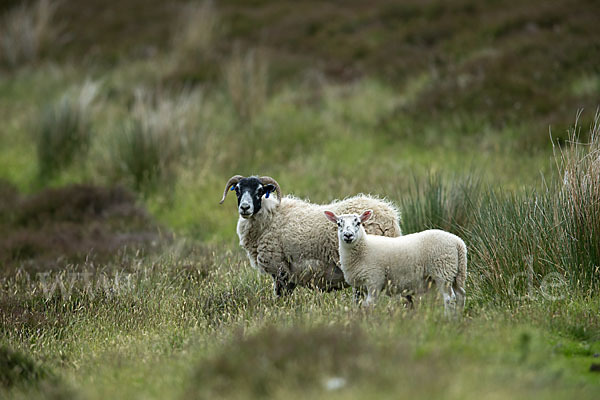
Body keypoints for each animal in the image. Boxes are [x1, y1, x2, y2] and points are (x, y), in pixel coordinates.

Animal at [324, 208, 468, 314]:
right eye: (339, 224)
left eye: (358, 223)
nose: (348, 235)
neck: (363, 248)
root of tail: (458, 242)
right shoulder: (358, 285)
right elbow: (358, 304)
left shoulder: (374, 281)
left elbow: (369, 304)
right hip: (457, 273)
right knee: (460, 295)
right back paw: (458, 317)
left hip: (443, 271)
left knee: (449, 298)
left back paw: (448, 319)